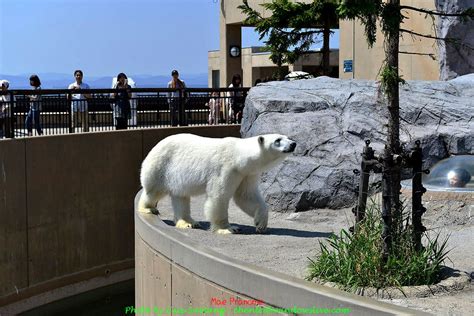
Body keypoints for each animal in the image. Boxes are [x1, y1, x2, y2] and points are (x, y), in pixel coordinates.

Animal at [137, 132, 298, 233]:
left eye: (288, 137)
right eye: (277, 140)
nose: (293, 144)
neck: (239, 156)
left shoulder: (246, 174)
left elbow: (246, 196)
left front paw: (261, 224)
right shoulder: (226, 168)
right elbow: (219, 196)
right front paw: (228, 229)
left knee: (181, 196)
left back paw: (189, 222)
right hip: (161, 166)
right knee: (154, 190)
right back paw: (148, 208)